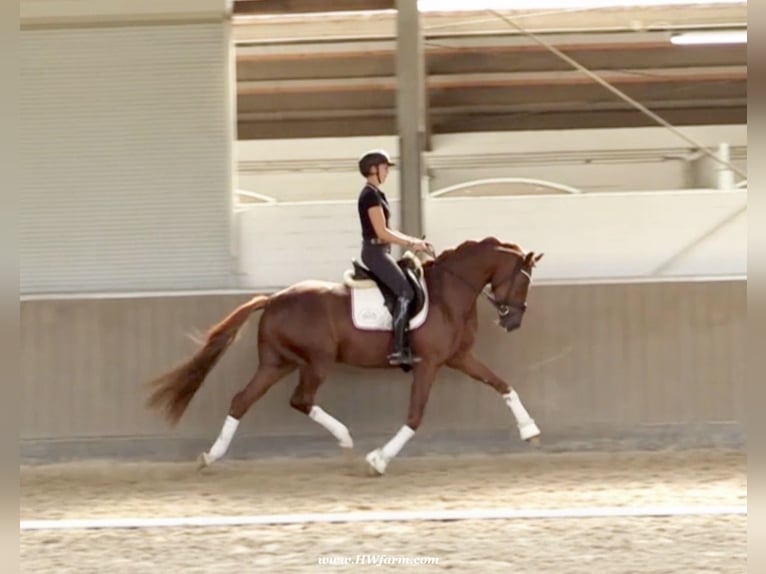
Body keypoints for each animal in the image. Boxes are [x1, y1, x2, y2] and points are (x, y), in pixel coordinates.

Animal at [146, 235, 544, 476]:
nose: (514, 321)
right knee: (300, 399)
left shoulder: (458, 357)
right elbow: (415, 416)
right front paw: (379, 460)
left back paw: (211, 455)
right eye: (522, 281)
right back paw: (347, 439)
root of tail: (273, 299)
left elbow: (502, 384)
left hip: (277, 363)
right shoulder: (429, 363)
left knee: (242, 400)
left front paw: (530, 430)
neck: (449, 293)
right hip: (317, 362)